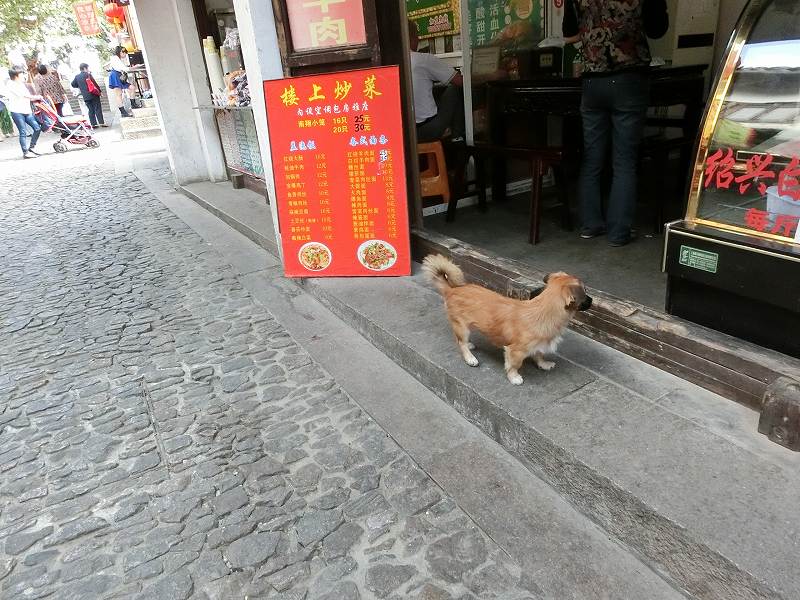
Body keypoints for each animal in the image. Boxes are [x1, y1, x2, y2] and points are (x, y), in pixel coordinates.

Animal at [422, 253, 592, 384]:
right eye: (585, 293)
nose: (592, 300)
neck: (543, 311)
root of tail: (452, 290)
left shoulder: (538, 345)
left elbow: (539, 354)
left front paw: (543, 364)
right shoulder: (515, 351)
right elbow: (514, 365)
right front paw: (514, 377)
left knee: (459, 340)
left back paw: (470, 345)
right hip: (462, 327)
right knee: (461, 342)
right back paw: (470, 358)